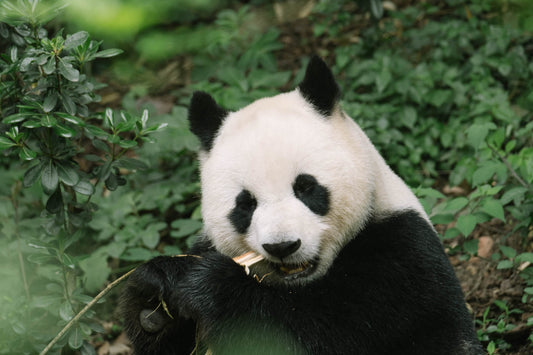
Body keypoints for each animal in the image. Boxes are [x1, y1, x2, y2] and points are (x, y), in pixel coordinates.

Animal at [120, 56, 482, 355]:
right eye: (245, 205)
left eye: (306, 188)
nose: (282, 246)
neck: (297, 284)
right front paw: (154, 292)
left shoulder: (400, 259)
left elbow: (325, 332)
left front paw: (210, 287)